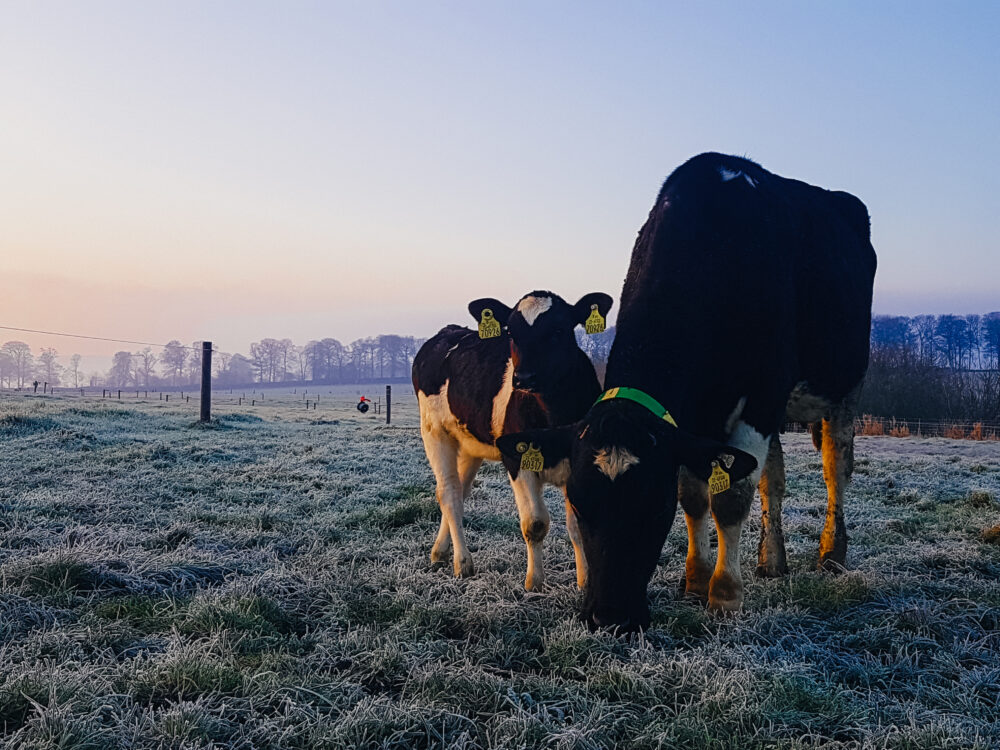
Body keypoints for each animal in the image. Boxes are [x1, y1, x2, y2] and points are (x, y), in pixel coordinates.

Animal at [412, 290, 614, 591]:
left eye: (559, 330)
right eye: (511, 333)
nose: (524, 378)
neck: (553, 416)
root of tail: (446, 332)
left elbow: (577, 526)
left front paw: (584, 581)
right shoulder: (516, 459)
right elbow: (535, 524)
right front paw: (534, 583)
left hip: (470, 444)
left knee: (461, 491)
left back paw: (440, 551)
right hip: (434, 432)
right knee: (448, 493)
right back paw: (462, 562)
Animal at [497, 153, 877, 631]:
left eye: (655, 509)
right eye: (579, 505)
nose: (609, 616)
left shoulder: (762, 395)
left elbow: (729, 497)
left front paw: (724, 594)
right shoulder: (691, 421)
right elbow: (696, 496)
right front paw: (695, 579)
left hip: (846, 384)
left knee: (834, 467)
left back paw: (832, 553)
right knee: (772, 479)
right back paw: (772, 561)